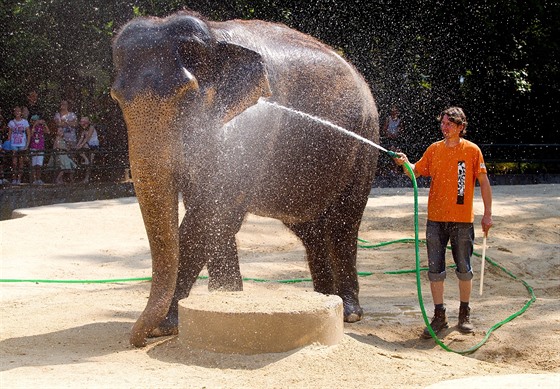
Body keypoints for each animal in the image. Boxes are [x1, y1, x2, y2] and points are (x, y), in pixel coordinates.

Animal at [109, 10, 380, 348]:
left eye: (186, 98)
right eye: (117, 99)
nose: (139, 340)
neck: (215, 35)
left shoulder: (252, 128)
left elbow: (214, 210)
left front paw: (165, 326)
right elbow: (211, 216)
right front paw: (226, 299)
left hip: (364, 143)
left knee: (344, 222)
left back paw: (349, 312)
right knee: (311, 229)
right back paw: (325, 298)